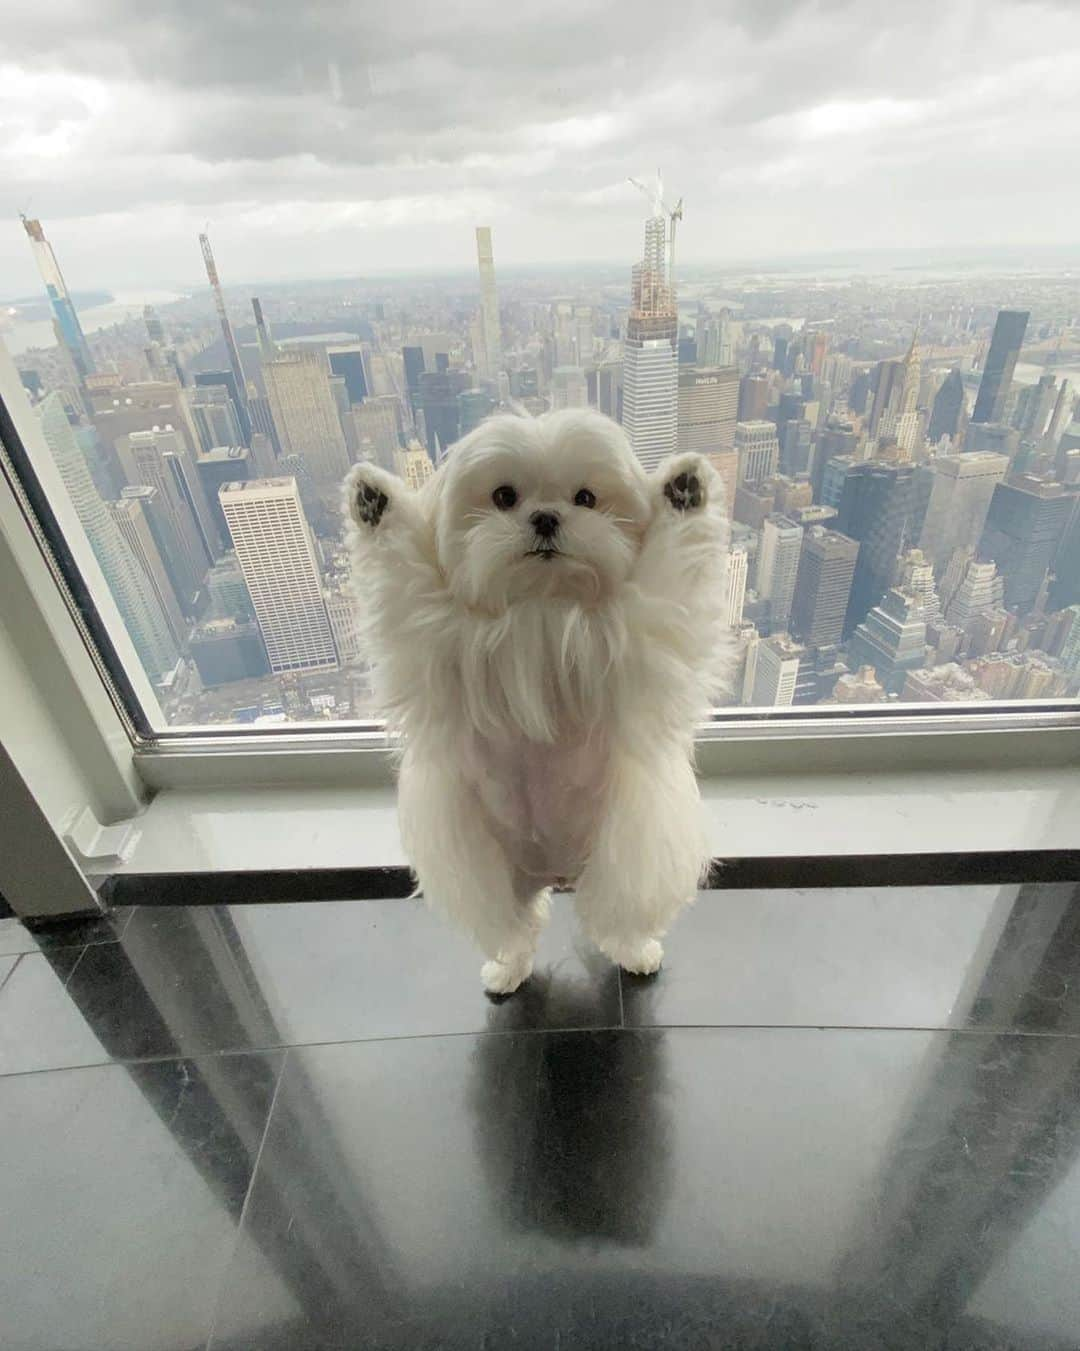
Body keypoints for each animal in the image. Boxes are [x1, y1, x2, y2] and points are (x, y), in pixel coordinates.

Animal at [344, 402, 735, 994]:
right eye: (505, 496)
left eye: (586, 498)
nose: (546, 517)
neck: (540, 608)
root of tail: (557, 872)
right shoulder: (429, 633)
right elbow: (404, 571)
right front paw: (375, 500)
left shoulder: (644, 632)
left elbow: (667, 574)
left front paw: (684, 490)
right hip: (487, 872)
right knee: (515, 928)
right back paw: (506, 970)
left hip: (625, 859)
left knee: (615, 920)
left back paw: (637, 954)